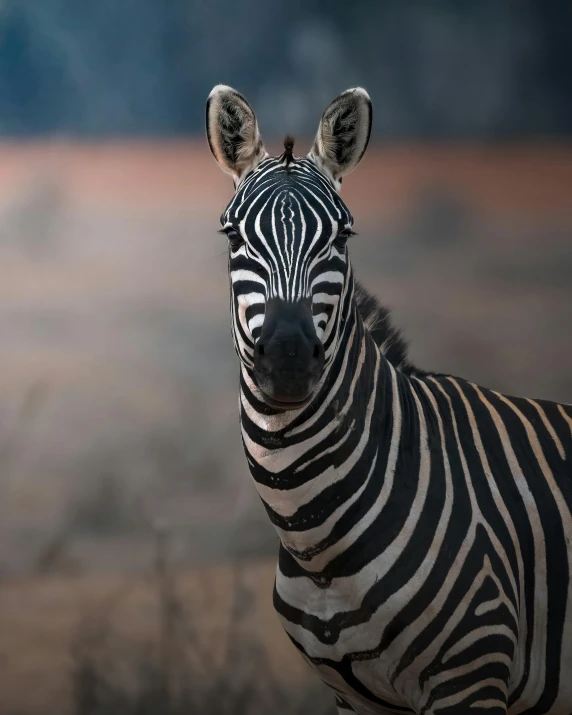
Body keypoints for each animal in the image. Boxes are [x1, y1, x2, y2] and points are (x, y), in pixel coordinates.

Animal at [206, 85, 572, 715]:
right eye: (234, 237)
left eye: (341, 238)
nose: (287, 360)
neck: (319, 547)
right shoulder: (356, 698)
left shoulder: (473, 673)